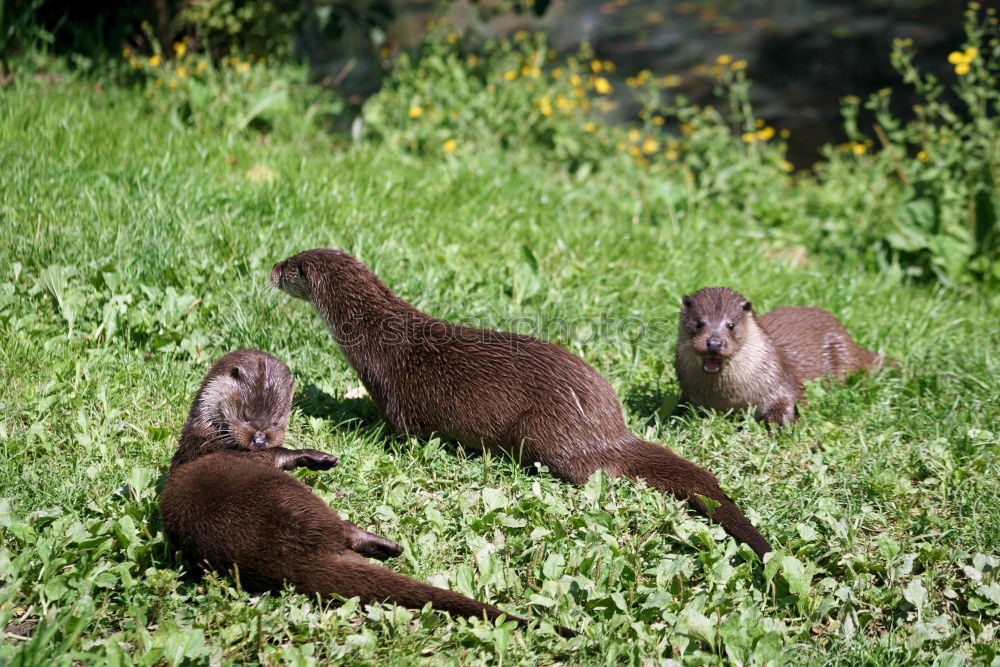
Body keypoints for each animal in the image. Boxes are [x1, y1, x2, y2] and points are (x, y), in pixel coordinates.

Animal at [270, 250, 768, 560]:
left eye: (290, 265)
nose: (271, 269)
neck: (375, 333)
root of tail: (609, 425)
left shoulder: (391, 390)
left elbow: (401, 431)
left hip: (545, 432)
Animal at [676, 288, 896, 428]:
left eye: (731, 325)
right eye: (698, 323)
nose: (714, 343)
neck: (726, 397)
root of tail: (850, 340)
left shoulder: (778, 381)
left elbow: (788, 401)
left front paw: (780, 425)